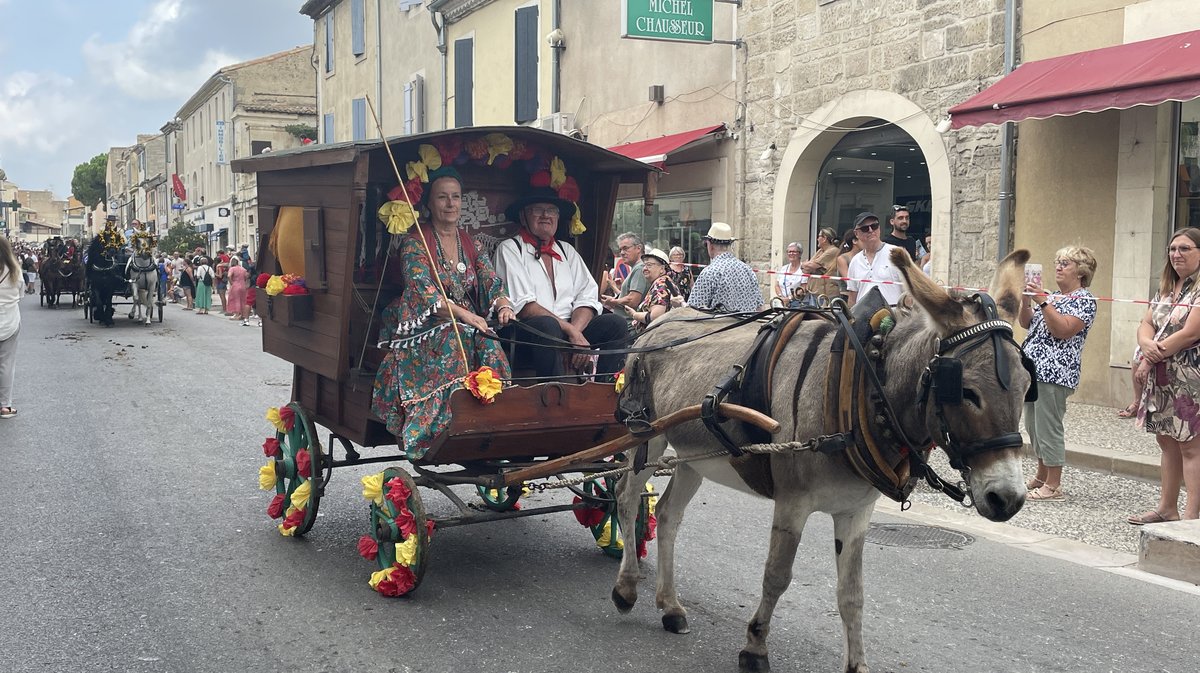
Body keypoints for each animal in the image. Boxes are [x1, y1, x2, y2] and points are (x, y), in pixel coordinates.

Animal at [609, 248, 1032, 671]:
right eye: (965, 390)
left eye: (1028, 386)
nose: (1008, 499)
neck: (859, 387)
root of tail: (656, 322)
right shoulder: (792, 503)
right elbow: (777, 575)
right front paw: (755, 647)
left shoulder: (856, 512)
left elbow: (852, 594)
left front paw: (857, 664)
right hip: (648, 439)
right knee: (627, 497)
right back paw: (626, 588)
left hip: (694, 456)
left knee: (668, 514)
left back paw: (670, 607)